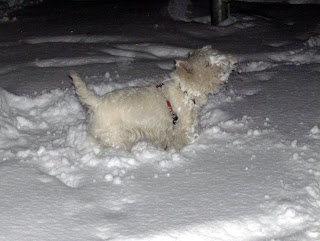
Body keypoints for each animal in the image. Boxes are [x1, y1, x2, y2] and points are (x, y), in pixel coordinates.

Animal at [69, 45, 235, 151]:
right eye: (207, 64)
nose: (230, 59)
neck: (185, 91)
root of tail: (96, 102)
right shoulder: (183, 128)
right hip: (115, 138)